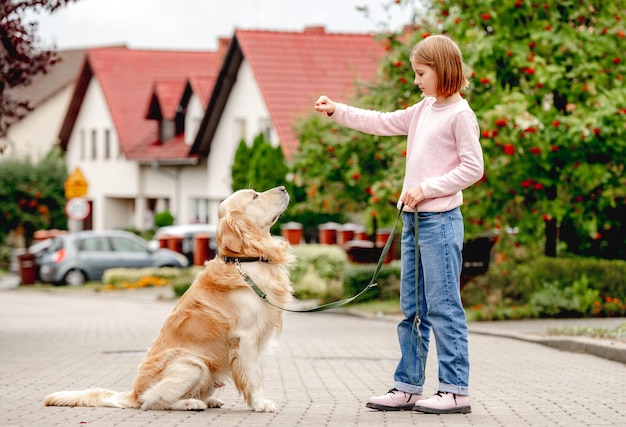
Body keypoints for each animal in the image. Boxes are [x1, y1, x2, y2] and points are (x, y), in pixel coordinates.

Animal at [44, 186, 292, 412]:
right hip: (192, 364)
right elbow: (255, 377)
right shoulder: (246, 336)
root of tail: (133, 394)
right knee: (155, 401)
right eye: (254, 196)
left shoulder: (258, 339)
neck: (247, 260)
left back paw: (208, 400)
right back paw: (191, 403)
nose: (283, 187)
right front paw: (261, 404)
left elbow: (257, 374)